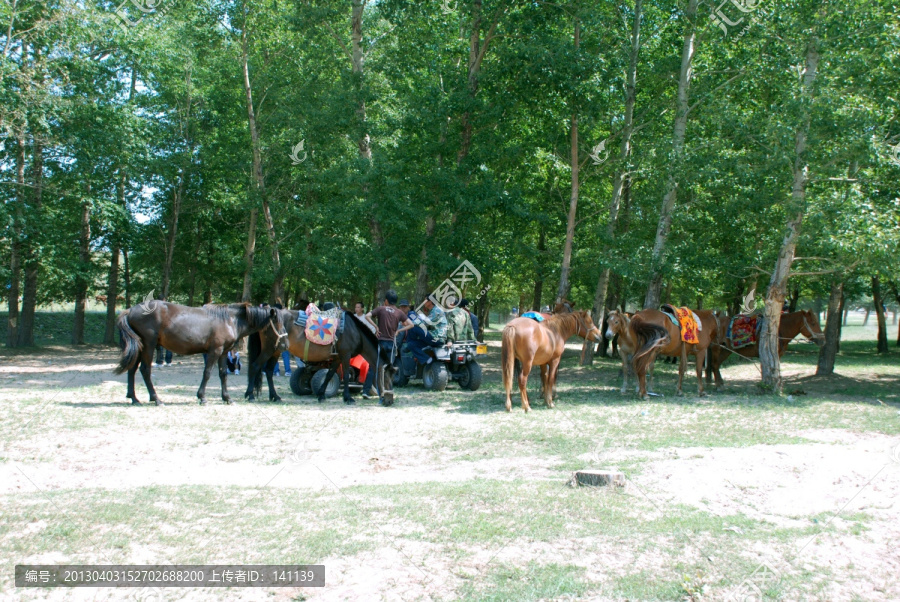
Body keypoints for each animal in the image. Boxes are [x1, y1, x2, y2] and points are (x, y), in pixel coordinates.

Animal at [114, 302, 286, 406]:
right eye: (277, 322)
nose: (284, 343)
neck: (229, 320)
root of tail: (131, 310)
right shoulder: (214, 351)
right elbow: (207, 373)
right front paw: (202, 397)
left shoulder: (223, 352)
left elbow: (223, 374)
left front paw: (227, 398)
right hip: (148, 346)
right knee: (145, 370)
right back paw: (156, 399)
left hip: (141, 347)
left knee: (132, 370)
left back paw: (134, 398)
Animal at [246, 310, 390, 404]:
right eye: (388, 376)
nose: (388, 399)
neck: (355, 332)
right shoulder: (346, 355)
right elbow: (346, 378)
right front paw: (347, 397)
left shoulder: (337, 357)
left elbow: (329, 375)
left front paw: (321, 394)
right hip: (269, 349)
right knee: (255, 366)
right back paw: (250, 394)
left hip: (276, 351)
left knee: (269, 371)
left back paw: (274, 396)